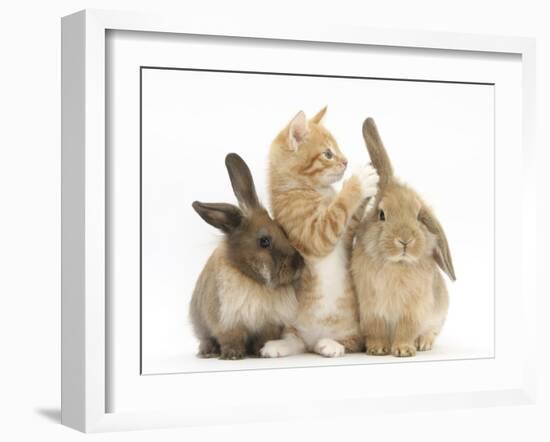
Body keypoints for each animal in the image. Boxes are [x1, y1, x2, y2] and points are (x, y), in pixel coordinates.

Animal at [191, 152, 306, 360]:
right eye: (264, 241)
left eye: (282, 229)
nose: (299, 264)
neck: (254, 281)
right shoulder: (227, 322)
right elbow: (231, 339)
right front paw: (232, 355)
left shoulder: (268, 324)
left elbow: (264, 337)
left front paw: (260, 351)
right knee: (206, 339)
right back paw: (208, 352)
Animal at [262, 108, 382, 360]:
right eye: (328, 154)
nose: (346, 161)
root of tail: (314, 339)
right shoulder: (313, 232)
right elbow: (338, 209)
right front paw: (359, 181)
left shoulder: (347, 232)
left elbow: (351, 215)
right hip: (292, 323)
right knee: (297, 342)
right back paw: (280, 345)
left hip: (352, 326)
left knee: (351, 342)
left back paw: (330, 344)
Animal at [354, 116, 458, 356]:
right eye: (382, 214)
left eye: (418, 215)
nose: (405, 240)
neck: (396, 265)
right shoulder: (371, 309)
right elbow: (376, 329)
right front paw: (377, 349)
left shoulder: (412, 310)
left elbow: (406, 329)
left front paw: (403, 350)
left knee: (430, 332)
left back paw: (423, 344)